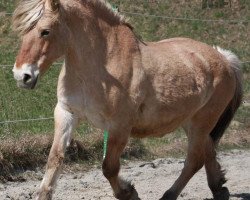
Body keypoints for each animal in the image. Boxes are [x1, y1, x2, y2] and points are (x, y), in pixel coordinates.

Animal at [11, 0, 242, 199]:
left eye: (45, 31)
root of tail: (224, 58)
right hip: (191, 122)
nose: (22, 76)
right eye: (23, 31)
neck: (101, 65)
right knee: (208, 151)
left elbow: (109, 168)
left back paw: (170, 195)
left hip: (201, 122)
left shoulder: (119, 127)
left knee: (193, 161)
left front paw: (129, 193)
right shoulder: (66, 113)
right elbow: (54, 160)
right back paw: (219, 189)